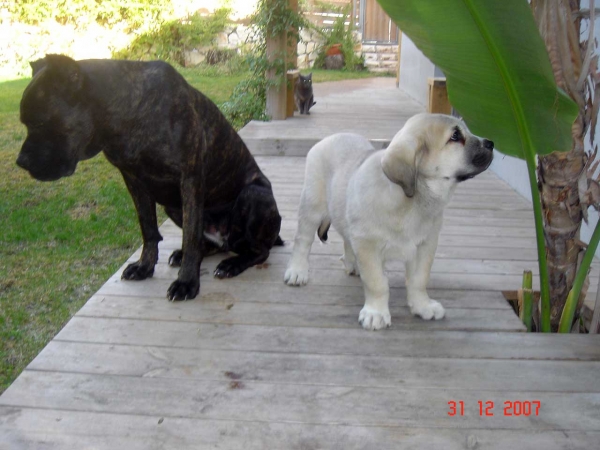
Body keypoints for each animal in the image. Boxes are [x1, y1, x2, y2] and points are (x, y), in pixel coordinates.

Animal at [15, 54, 284, 300]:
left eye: (40, 122)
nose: (21, 162)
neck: (127, 113)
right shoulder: (134, 180)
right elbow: (149, 229)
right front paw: (144, 267)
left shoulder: (190, 179)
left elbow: (190, 235)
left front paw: (187, 283)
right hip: (172, 206)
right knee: (211, 243)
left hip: (253, 194)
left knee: (258, 250)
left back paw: (231, 264)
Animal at [284, 113, 494, 330]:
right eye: (455, 136)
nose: (491, 143)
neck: (411, 201)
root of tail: (331, 137)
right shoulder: (368, 245)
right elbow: (377, 282)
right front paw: (375, 312)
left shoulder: (425, 245)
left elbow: (419, 280)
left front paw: (423, 305)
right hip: (312, 206)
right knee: (303, 240)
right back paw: (297, 271)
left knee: (346, 237)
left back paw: (352, 263)